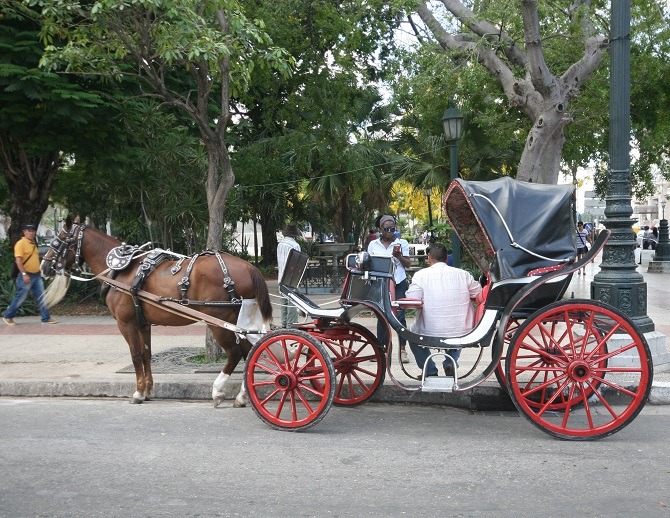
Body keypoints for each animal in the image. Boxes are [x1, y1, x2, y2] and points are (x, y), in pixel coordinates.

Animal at [41, 217, 272, 408]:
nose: (44, 267)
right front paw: (148, 390)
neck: (122, 270)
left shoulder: (126, 323)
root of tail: (249, 267)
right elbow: (146, 354)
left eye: (58, 241)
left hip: (219, 321)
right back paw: (242, 395)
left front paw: (138, 393)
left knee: (235, 353)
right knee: (248, 352)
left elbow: (135, 355)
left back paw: (218, 391)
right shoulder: (143, 323)